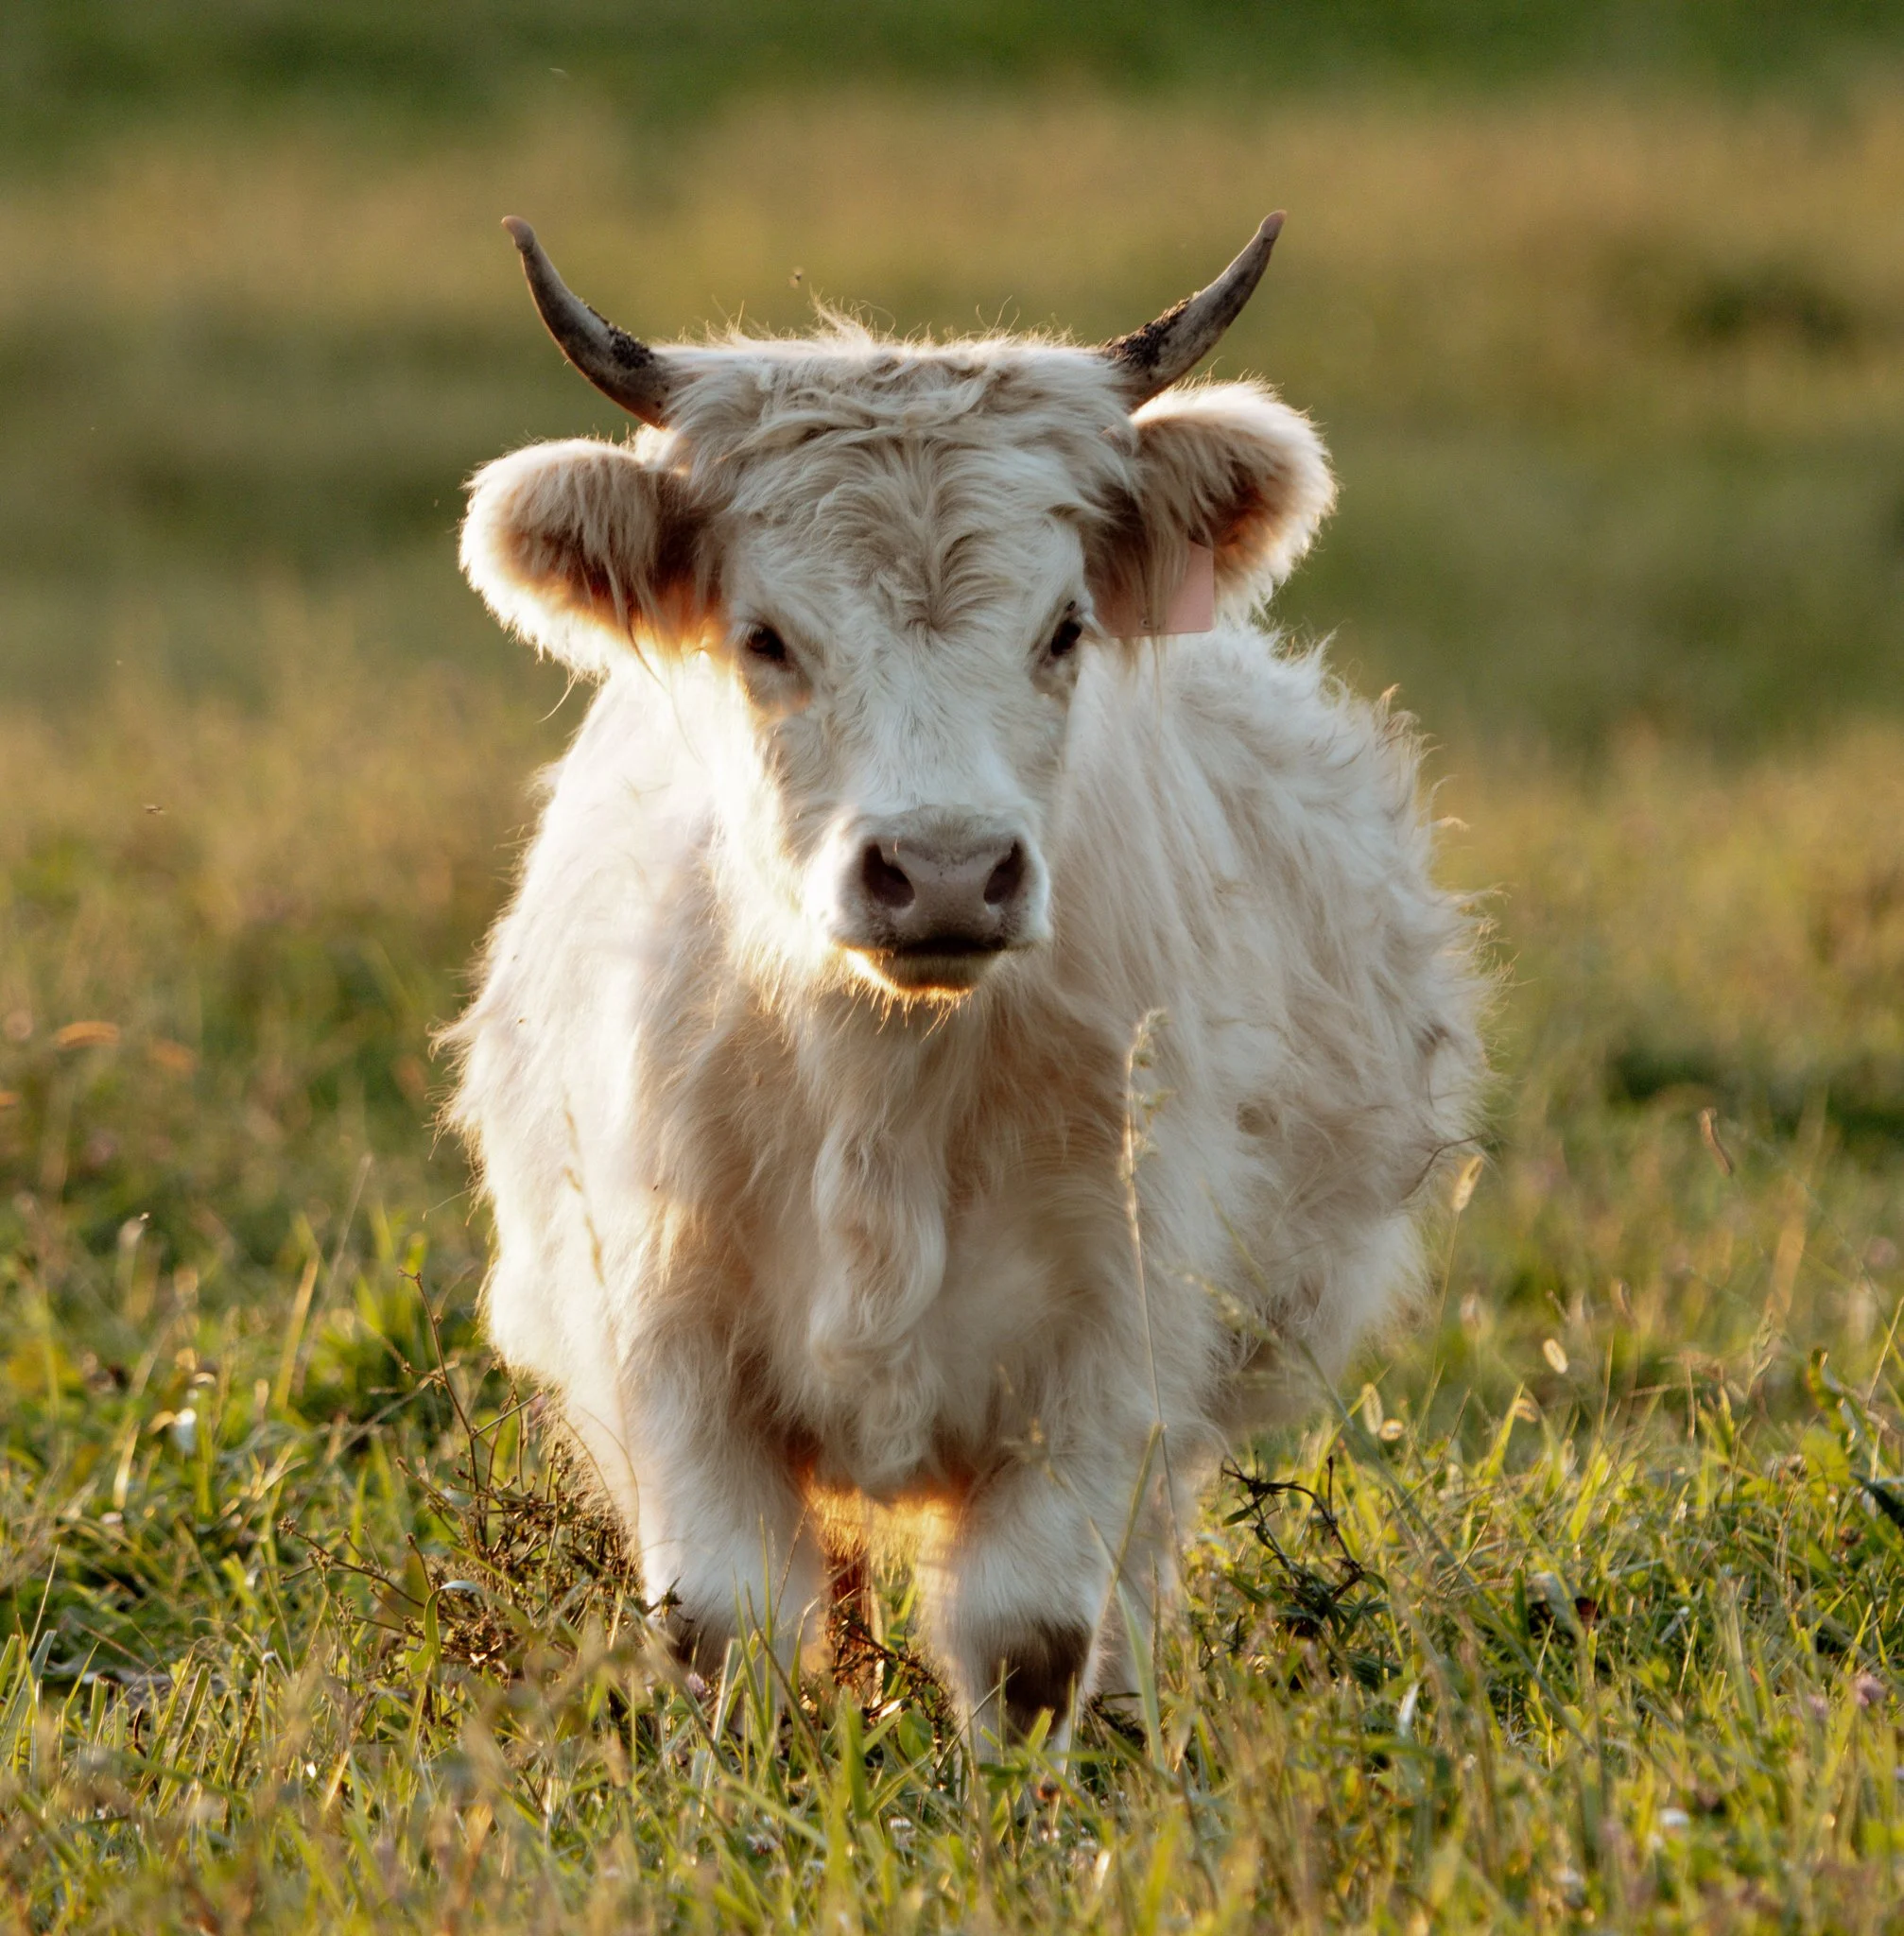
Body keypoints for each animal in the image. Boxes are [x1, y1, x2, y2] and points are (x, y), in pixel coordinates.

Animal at [447, 213, 1484, 1751]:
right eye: (765, 636)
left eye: (1061, 628)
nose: (942, 871)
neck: (880, 1091)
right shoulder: (663, 1333)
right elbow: (727, 1621)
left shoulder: (1115, 1336)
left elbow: (1030, 1631)